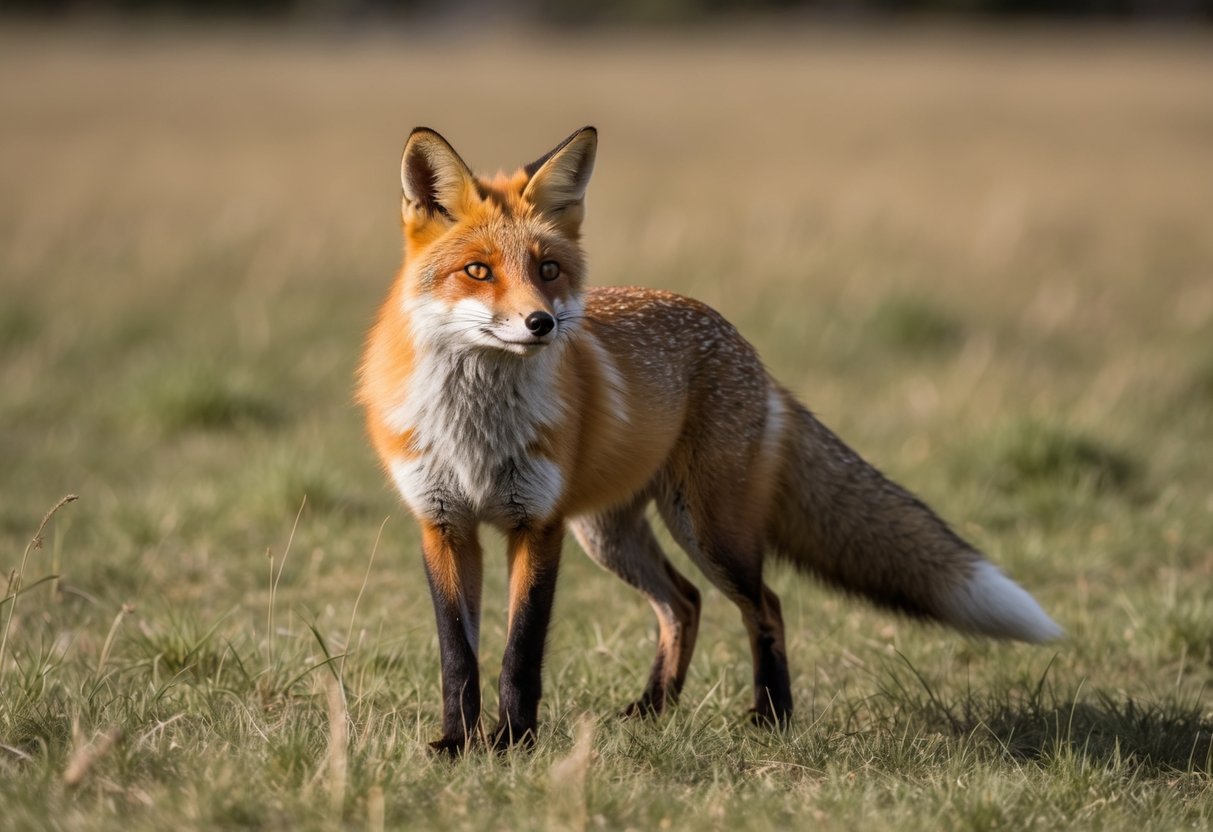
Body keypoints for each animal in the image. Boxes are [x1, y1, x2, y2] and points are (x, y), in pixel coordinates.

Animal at [357, 126, 1062, 753]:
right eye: (478, 270)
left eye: (548, 269)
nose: (541, 323)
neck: (475, 429)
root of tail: (747, 349)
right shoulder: (444, 524)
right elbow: (459, 656)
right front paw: (457, 743)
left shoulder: (537, 524)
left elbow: (520, 653)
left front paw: (512, 742)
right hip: (611, 535)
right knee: (684, 603)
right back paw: (651, 709)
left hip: (708, 530)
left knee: (765, 603)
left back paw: (771, 715)